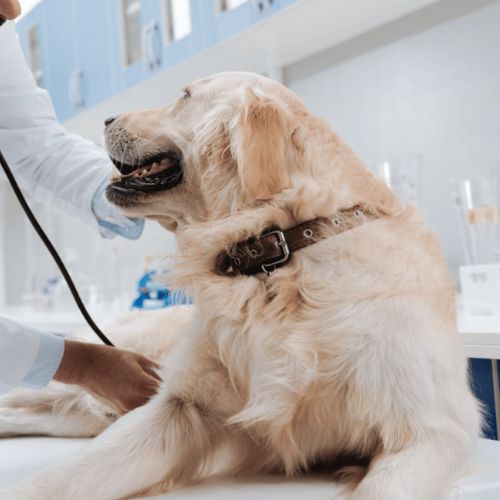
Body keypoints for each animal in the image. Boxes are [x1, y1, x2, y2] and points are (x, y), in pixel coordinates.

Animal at [0, 71, 484, 500]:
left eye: (183, 96)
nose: (105, 118)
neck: (279, 250)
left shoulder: (431, 430)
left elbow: (384, 487)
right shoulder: (179, 408)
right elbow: (63, 479)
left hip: (83, 414)